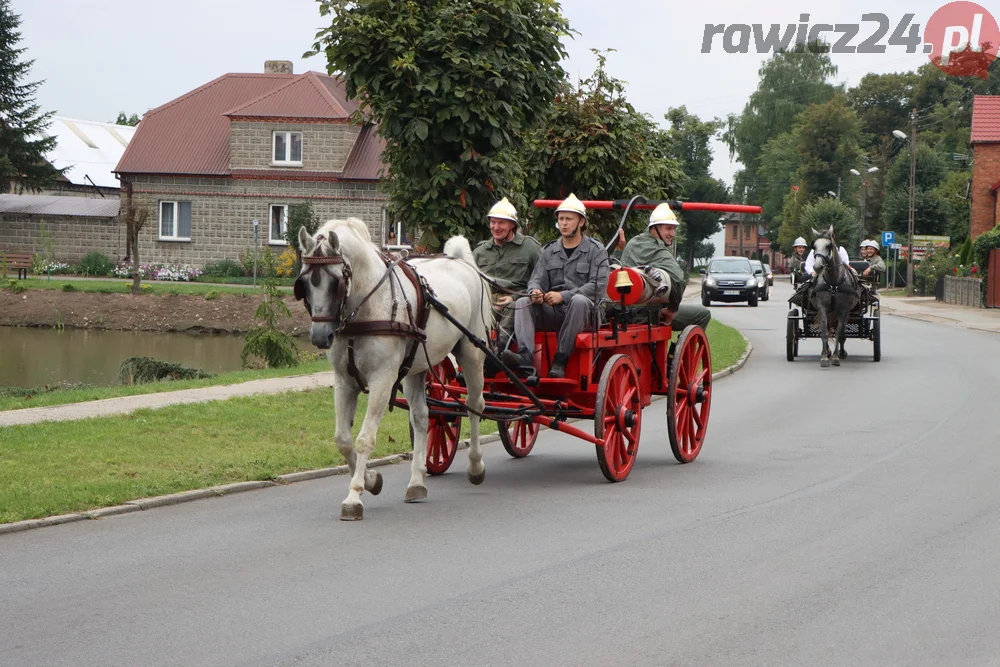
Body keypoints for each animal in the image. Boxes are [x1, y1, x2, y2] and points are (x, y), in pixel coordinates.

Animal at [292, 219, 488, 520]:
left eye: (335, 282)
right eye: (303, 282)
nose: (320, 336)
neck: (367, 306)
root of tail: (462, 261)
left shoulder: (383, 379)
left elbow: (364, 439)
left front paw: (354, 496)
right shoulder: (344, 381)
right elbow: (343, 440)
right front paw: (372, 480)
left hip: (471, 352)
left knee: (475, 405)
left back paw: (475, 466)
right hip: (416, 369)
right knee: (422, 417)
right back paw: (417, 482)